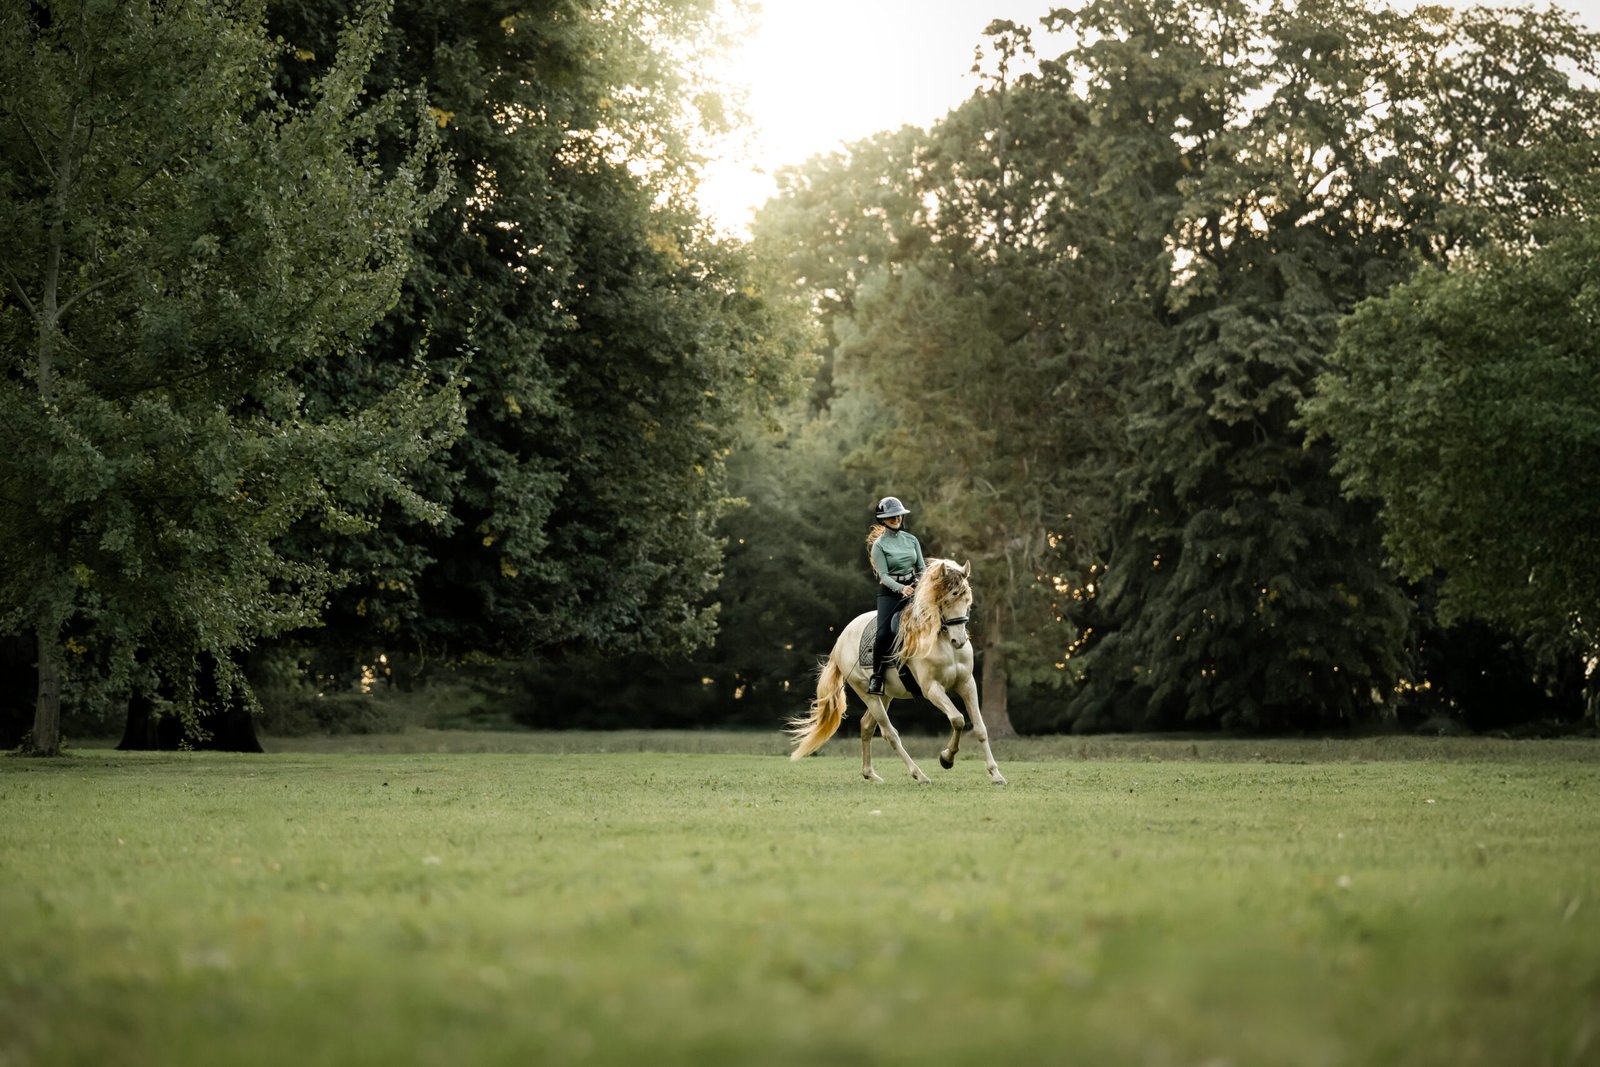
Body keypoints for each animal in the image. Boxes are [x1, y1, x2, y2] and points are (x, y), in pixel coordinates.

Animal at [787, 558, 1007, 784]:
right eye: (947, 599)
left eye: (966, 599)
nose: (959, 641)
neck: (942, 641)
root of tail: (841, 639)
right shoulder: (932, 689)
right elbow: (958, 719)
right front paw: (946, 758)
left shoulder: (966, 684)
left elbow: (980, 728)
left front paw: (996, 774)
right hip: (868, 695)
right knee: (889, 733)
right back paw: (919, 774)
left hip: (884, 695)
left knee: (866, 726)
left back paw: (871, 774)